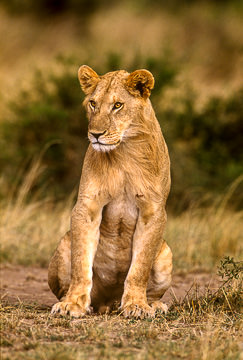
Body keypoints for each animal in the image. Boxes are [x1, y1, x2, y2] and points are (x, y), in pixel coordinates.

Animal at [48, 65, 173, 318]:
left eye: (117, 105)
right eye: (93, 103)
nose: (96, 134)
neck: (124, 152)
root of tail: (108, 301)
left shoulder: (153, 211)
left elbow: (140, 267)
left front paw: (137, 305)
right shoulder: (87, 207)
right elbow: (81, 264)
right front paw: (72, 304)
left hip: (166, 255)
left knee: (152, 290)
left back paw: (154, 305)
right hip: (64, 244)